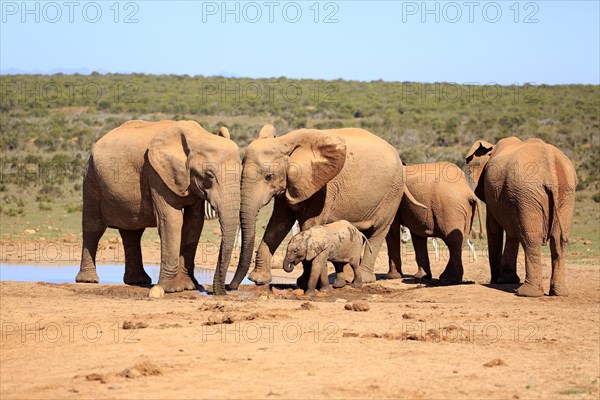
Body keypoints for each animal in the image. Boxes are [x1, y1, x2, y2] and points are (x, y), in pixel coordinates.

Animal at [75, 119, 241, 294]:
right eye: (209, 174)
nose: (217, 291)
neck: (197, 135)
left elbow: (194, 223)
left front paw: (189, 286)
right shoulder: (156, 173)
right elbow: (172, 221)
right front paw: (171, 289)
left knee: (132, 233)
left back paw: (138, 281)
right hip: (91, 179)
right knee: (93, 228)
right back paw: (88, 280)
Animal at [230, 123, 422, 290]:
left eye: (268, 176)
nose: (231, 287)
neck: (287, 142)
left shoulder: (324, 187)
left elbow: (309, 225)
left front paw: (304, 282)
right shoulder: (290, 184)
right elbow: (278, 224)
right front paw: (259, 280)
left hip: (392, 192)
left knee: (378, 231)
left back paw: (365, 279)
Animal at [464, 138, 576, 296]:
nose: (477, 235)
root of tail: (551, 167)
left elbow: (494, 230)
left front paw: (497, 281)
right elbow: (512, 233)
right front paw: (506, 280)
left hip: (528, 192)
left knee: (531, 238)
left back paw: (527, 293)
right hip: (564, 193)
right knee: (558, 239)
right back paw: (559, 293)